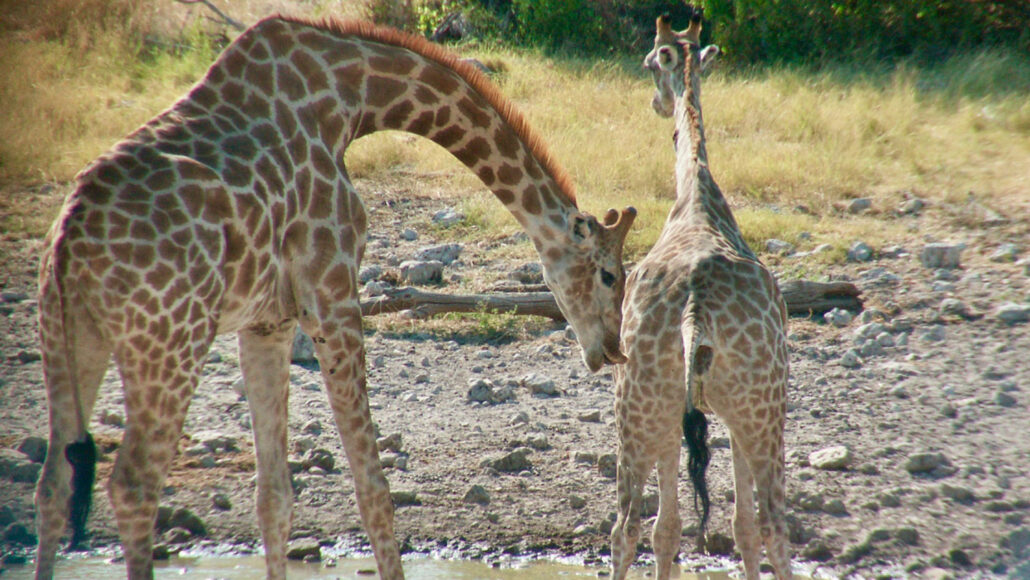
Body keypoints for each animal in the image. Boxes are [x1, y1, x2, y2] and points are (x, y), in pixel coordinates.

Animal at [32, 14, 634, 580]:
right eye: (609, 274)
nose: (612, 348)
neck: (352, 98)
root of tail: (69, 241)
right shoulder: (333, 293)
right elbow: (373, 490)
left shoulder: (267, 320)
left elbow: (274, 498)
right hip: (168, 344)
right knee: (133, 485)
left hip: (70, 340)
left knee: (54, 482)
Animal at [605, 9, 791, 580]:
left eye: (649, 62)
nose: (656, 103)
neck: (696, 195)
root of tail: (694, 314)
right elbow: (735, 526)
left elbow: (672, 531)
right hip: (758, 410)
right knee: (772, 522)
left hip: (645, 408)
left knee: (626, 527)